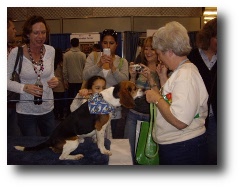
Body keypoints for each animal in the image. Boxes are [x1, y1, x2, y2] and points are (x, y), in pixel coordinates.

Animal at [14, 80, 143, 160]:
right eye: (134, 88)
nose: (143, 89)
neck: (108, 99)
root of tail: (50, 139)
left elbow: (97, 138)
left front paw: (95, 141)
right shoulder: (100, 127)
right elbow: (101, 142)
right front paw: (104, 151)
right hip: (73, 141)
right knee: (62, 157)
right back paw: (76, 156)